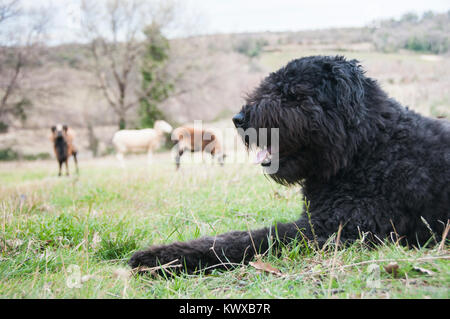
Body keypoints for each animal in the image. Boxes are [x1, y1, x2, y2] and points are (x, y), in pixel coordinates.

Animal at [128, 55, 448, 276]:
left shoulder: (335, 231)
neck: (367, 149)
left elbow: (249, 239)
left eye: (292, 94)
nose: (239, 118)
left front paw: (160, 258)